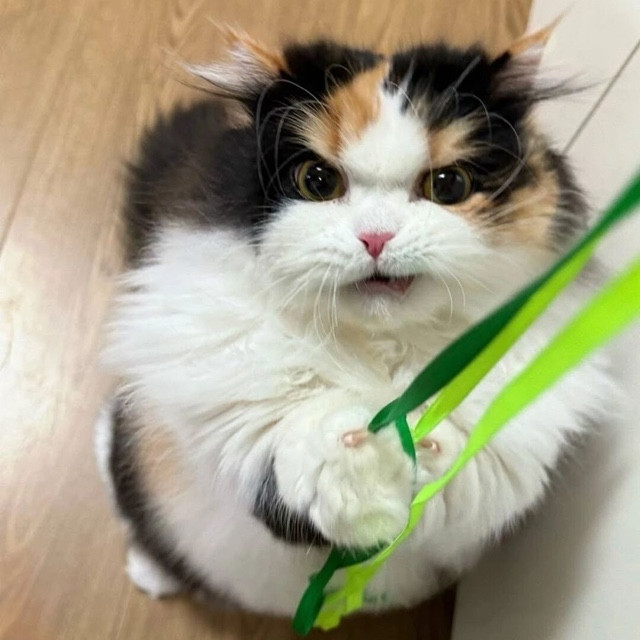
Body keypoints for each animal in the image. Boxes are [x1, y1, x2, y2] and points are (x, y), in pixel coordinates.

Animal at [95, 27, 618, 617]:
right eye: (318, 181)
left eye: (448, 186)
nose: (375, 237)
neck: (380, 347)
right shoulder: (247, 440)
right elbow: (305, 441)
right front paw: (355, 450)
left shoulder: (497, 463)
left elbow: (450, 462)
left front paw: (415, 442)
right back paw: (152, 574)